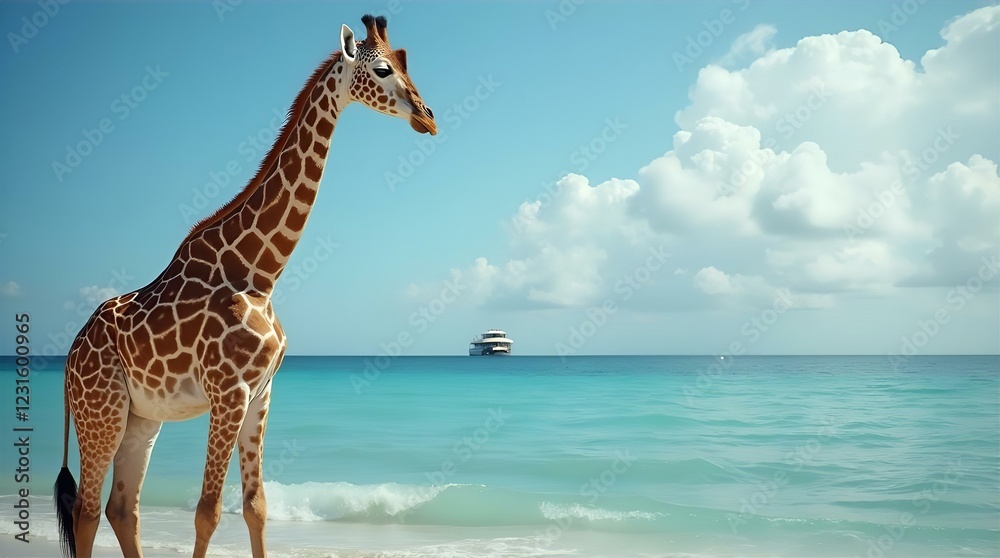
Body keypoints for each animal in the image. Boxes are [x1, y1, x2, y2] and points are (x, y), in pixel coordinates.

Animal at [53, 15, 436, 558]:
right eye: (383, 69)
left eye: (405, 63)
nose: (428, 117)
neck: (261, 272)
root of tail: (68, 357)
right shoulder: (228, 391)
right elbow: (208, 512)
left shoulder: (261, 394)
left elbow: (256, 507)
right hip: (99, 412)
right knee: (86, 512)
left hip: (140, 420)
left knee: (121, 509)